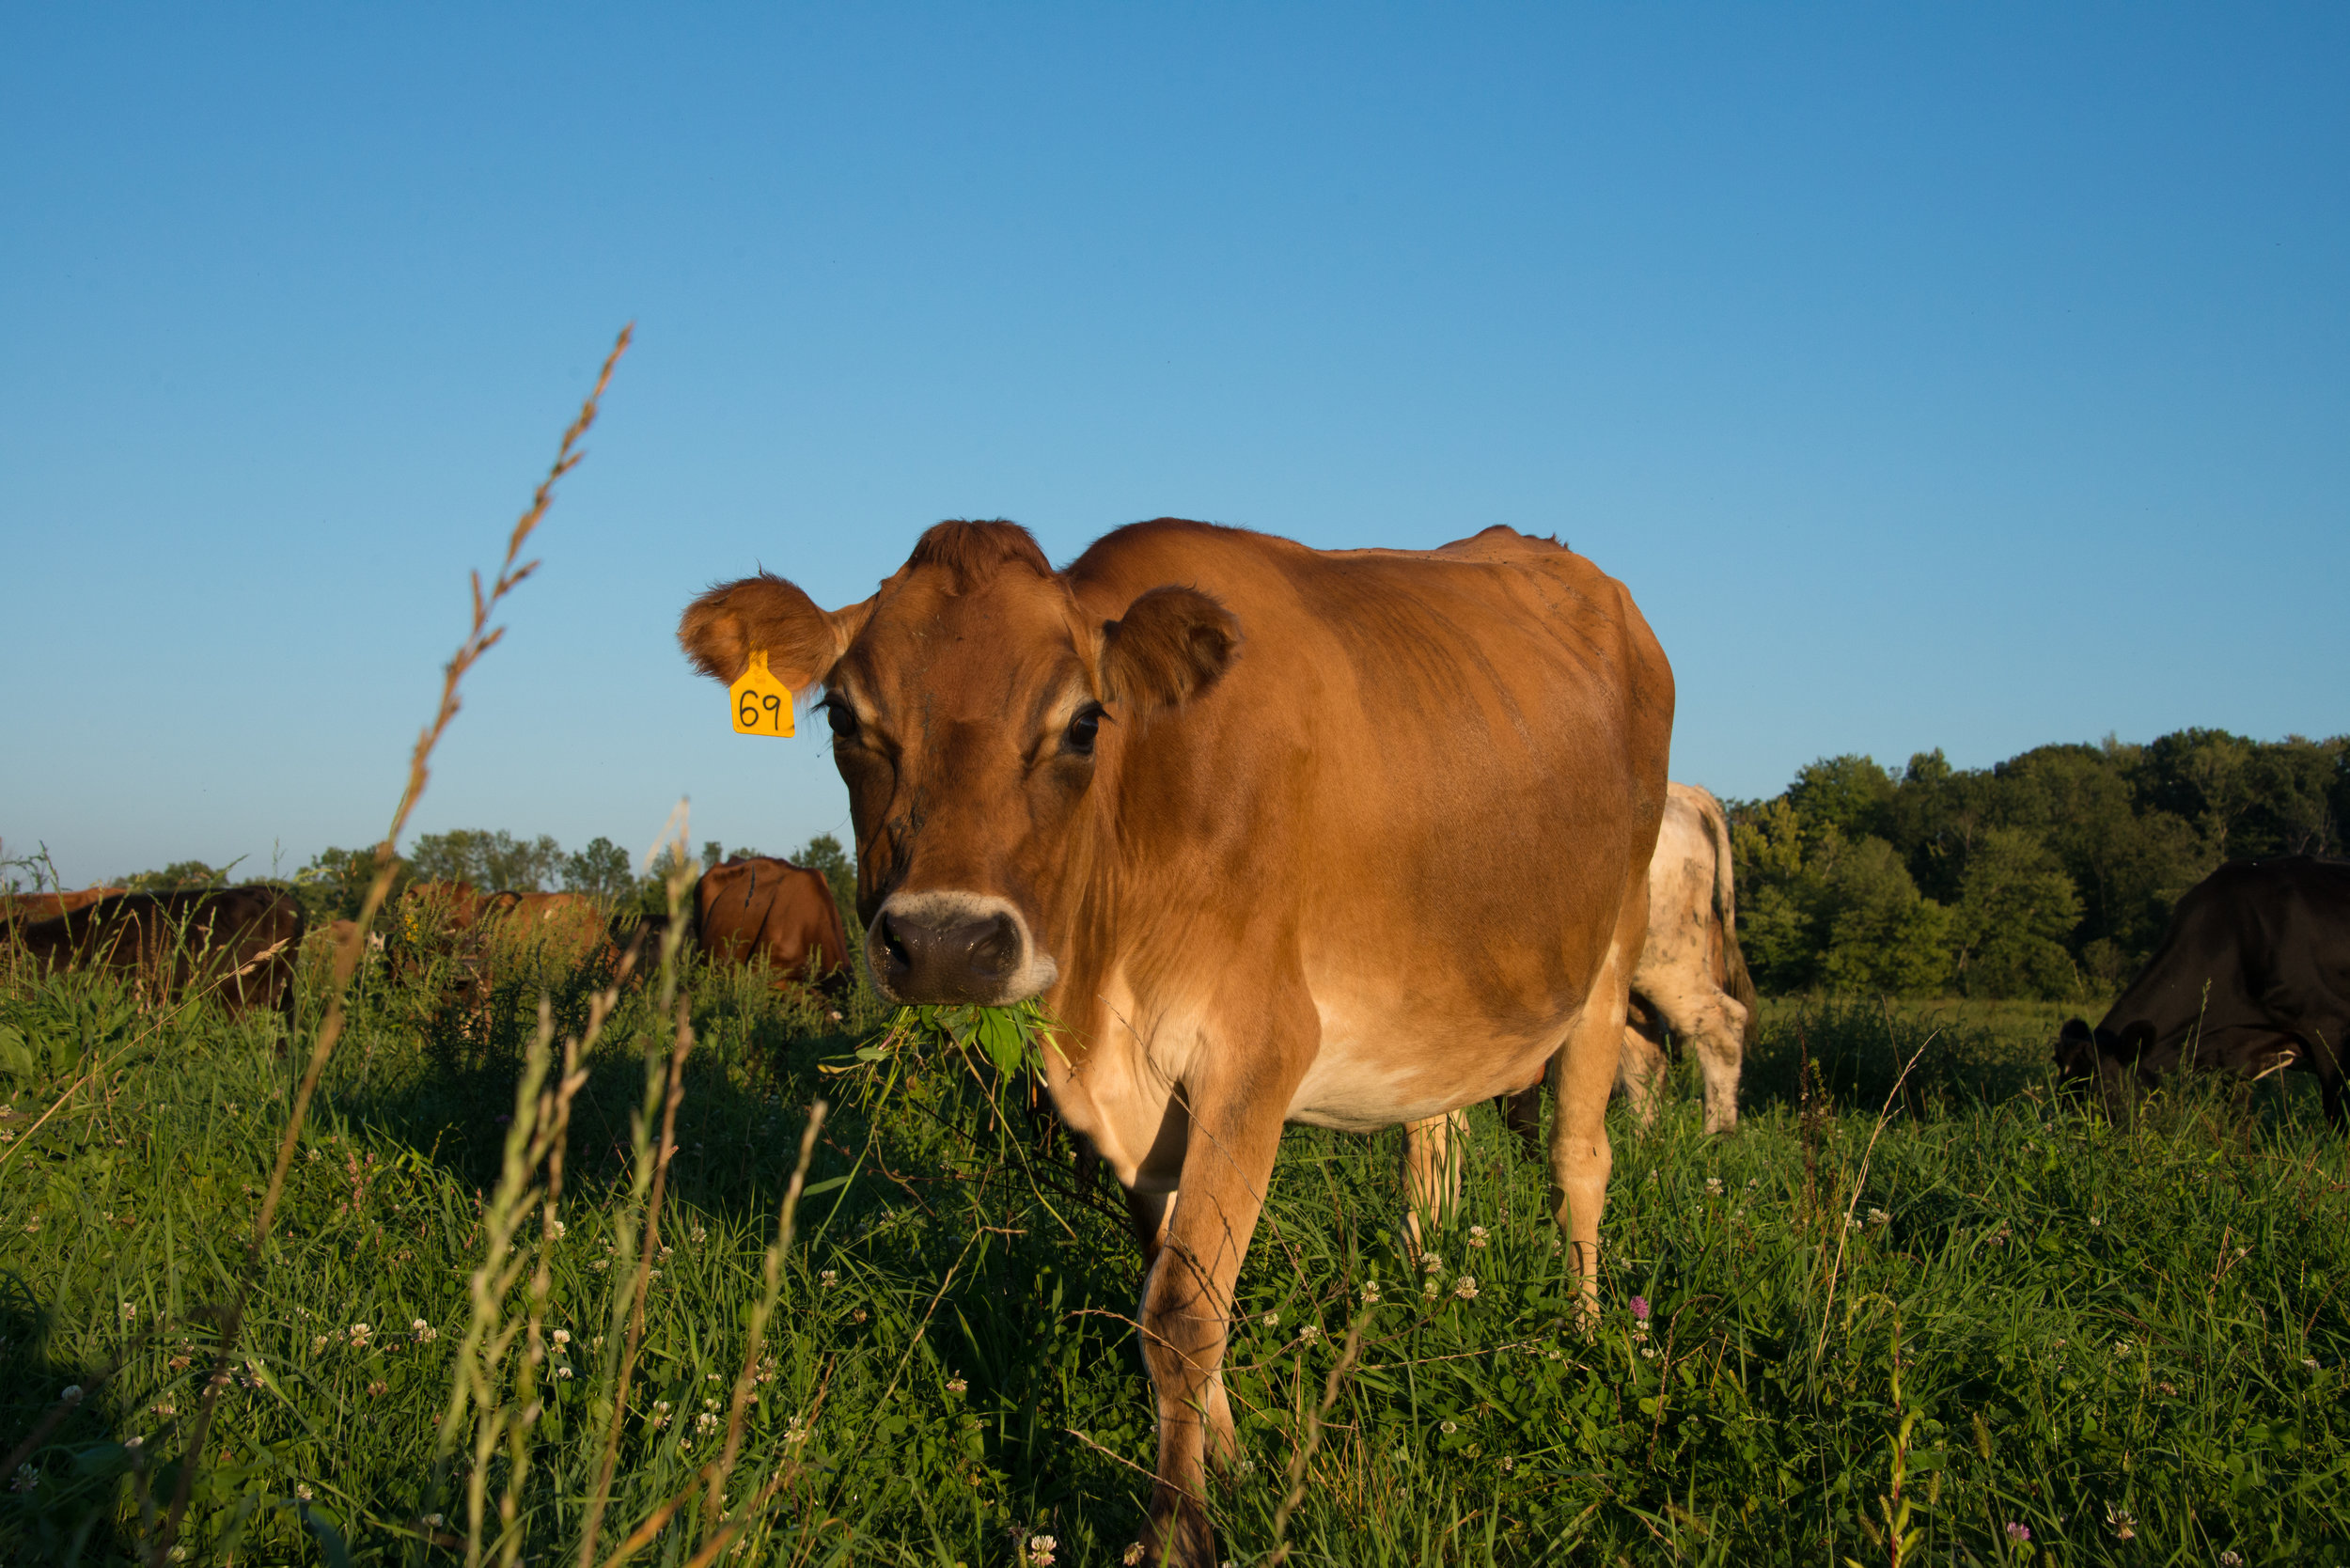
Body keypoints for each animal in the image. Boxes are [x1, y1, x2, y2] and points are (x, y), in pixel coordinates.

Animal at [1495, 780, 1758, 1147]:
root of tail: (1687, 792)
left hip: (1669, 961)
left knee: (1721, 1022)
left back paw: (1717, 1132)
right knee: (1644, 1052)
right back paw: (1641, 1136)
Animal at [2049, 860, 2341, 1128]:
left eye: (2102, 1095)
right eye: (2061, 1096)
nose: (2073, 1143)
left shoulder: (2329, 1033)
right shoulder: (2234, 1060)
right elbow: (2238, 1124)